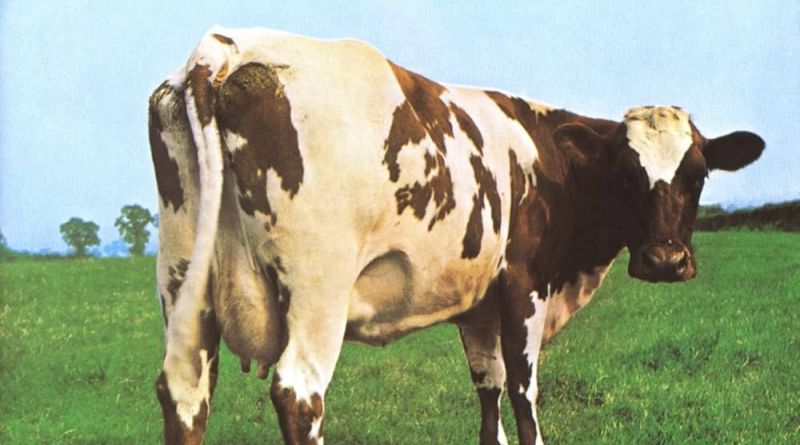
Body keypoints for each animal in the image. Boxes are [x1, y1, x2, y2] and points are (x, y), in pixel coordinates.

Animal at [149, 27, 764, 445]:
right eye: (627, 175)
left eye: (698, 174)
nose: (665, 260)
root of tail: (227, 49)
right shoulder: (524, 286)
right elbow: (523, 390)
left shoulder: (478, 306)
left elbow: (488, 389)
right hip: (317, 290)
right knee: (299, 394)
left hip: (182, 281)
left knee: (183, 391)